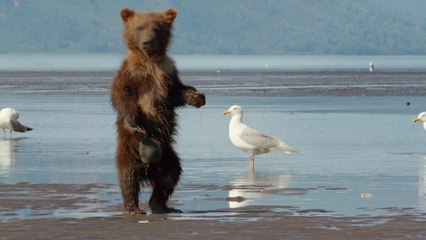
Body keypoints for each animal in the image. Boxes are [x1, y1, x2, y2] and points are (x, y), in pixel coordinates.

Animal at [109, 7, 204, 214]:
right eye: (139, 27)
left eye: (156, 28)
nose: (147, 42)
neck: (150, 60)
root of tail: (148, 170)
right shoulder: (131, 73)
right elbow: (122, 95)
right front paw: (132, 121)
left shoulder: (167, 71)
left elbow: (176, 92)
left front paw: (196, 97)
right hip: (130, 149)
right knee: (128, 175)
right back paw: (133, 207)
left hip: (167, 154)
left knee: (170, 176)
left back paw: (162, 205)